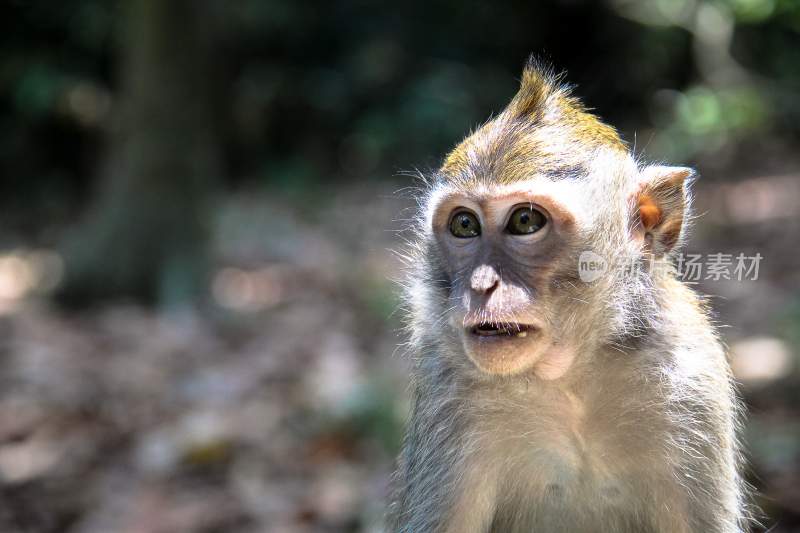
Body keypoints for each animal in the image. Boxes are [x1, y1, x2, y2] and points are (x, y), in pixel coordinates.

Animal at [388, 59, 752, 532]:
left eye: (525, 221)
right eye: (465, 225)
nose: (482, 285)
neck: (569, 376)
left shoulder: (692, 381)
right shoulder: (448, 388)